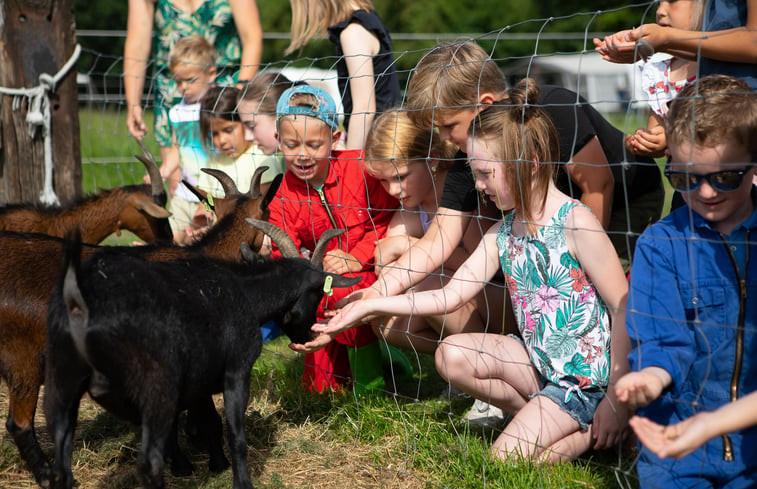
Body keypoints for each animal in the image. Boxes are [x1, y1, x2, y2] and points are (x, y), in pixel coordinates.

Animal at [0, 166, 280, 486]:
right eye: (268, 212)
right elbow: (207, 418)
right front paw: (213, 463)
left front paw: (181, 460)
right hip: (22, 361)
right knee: (19, 424)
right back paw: (48, 476)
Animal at [44, 220, 360, 488]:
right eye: (318, 294)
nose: (308, 336)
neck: (246, 294)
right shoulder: (236, 371)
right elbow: (235, 434)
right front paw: (240, 481)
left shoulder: (201, 374)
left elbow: (210, 420)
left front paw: (214, 464)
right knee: (148, 460)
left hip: (62, 382)